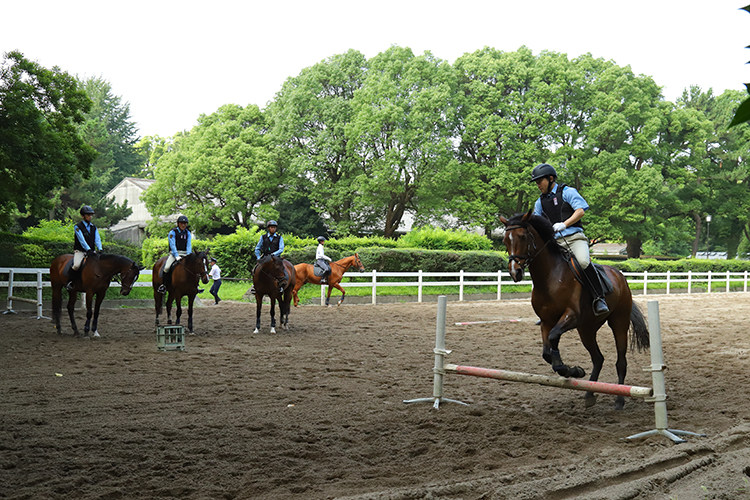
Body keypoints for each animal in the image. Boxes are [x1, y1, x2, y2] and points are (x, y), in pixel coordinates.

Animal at [500, 211, 652, 410]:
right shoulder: (547, 321)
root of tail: (620, 276)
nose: (515, 272)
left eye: (522, 236)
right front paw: (573, 370)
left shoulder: (570, 316)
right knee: (598, 358)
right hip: (586, 329)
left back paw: (619, 399)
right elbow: (547, 351)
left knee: (621, 361)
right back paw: (589, 394)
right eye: (505, 240)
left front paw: (567, 369)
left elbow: (554, 338)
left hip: (619, 322)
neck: (549, 277)